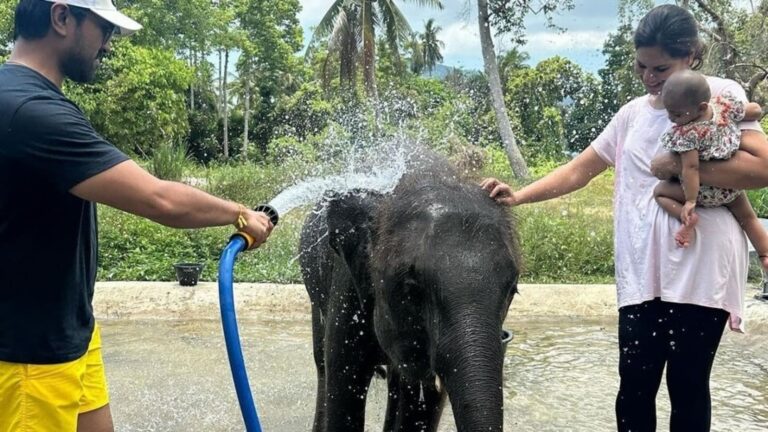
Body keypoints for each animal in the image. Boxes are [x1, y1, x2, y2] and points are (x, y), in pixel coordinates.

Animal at [296, 156, 520, 432]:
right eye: (412, 288)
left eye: (513, 289)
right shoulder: (346, 287)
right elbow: (345, 387)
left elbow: (420, 408)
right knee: (322, 364)